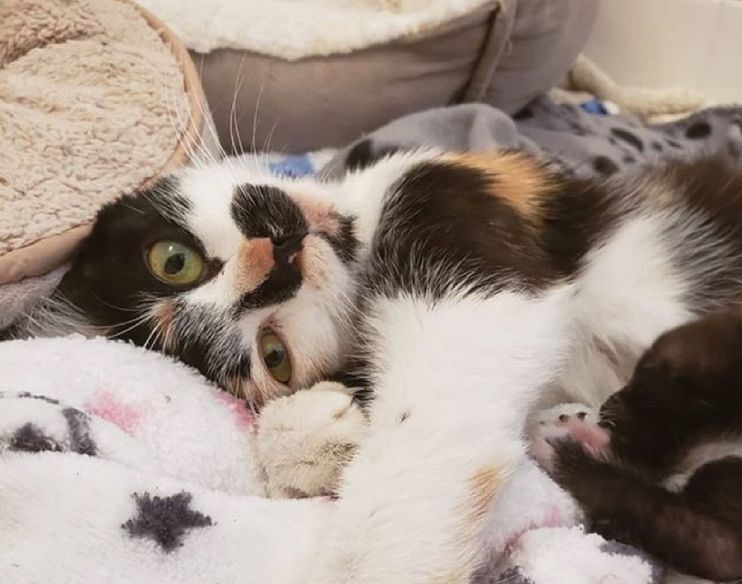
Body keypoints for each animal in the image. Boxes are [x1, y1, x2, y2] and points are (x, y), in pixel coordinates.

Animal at [530, 311, 742, 581]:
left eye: (641, 385)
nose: (607, 401)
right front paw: (586, 432)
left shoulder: (726, 544)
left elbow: (635, 493)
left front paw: (564, 454)